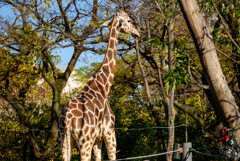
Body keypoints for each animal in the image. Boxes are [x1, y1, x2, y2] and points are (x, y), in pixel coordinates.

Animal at [58, 9, 140, 161]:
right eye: (129, 20)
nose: (137, 33)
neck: (103, 87)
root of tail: (67, 119)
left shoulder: (97, 139)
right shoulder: (109, 133)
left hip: (64, 141)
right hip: (85, 142)